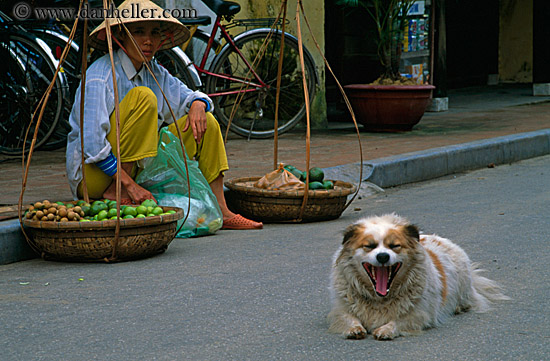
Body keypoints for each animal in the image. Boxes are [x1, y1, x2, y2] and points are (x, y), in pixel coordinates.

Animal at [330, 214, 512, 340]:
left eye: (395, 246)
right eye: (369, 246)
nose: (382, 256)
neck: (380, 298)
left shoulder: (421, 315)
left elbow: (400, 320)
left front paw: (386, 329)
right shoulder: (340, 310)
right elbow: (348, 318)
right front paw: (354, 328)